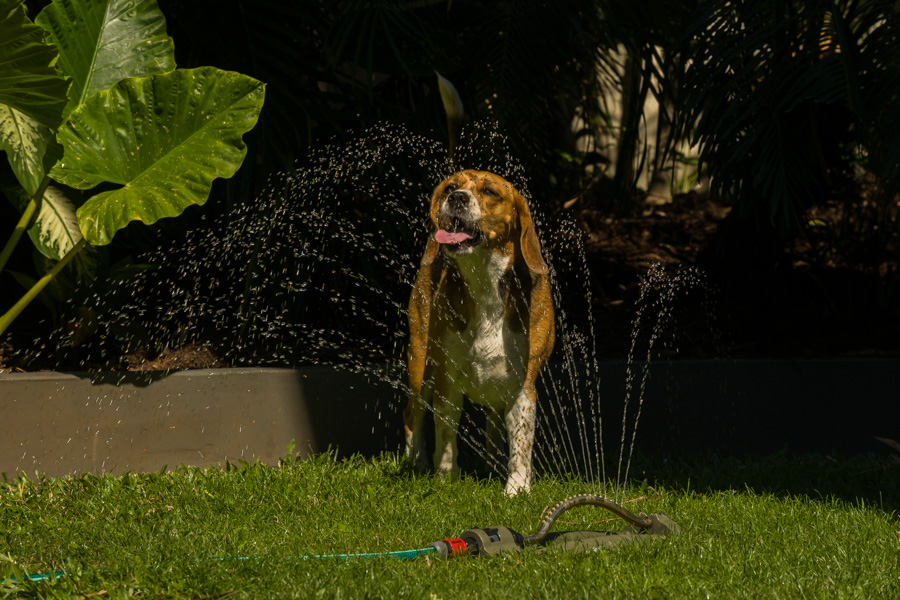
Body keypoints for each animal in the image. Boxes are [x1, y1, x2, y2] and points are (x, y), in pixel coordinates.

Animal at [402, 170, 556, 496]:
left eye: (490, 192)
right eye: (451, 187)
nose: (457, 198)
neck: (484, 279)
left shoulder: (523, 386)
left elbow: (521, 443)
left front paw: (517, 488)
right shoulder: (446, 381)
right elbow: (446, 437)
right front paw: (446, 479)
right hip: (421, 365)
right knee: (412, 416)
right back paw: (416, 462)